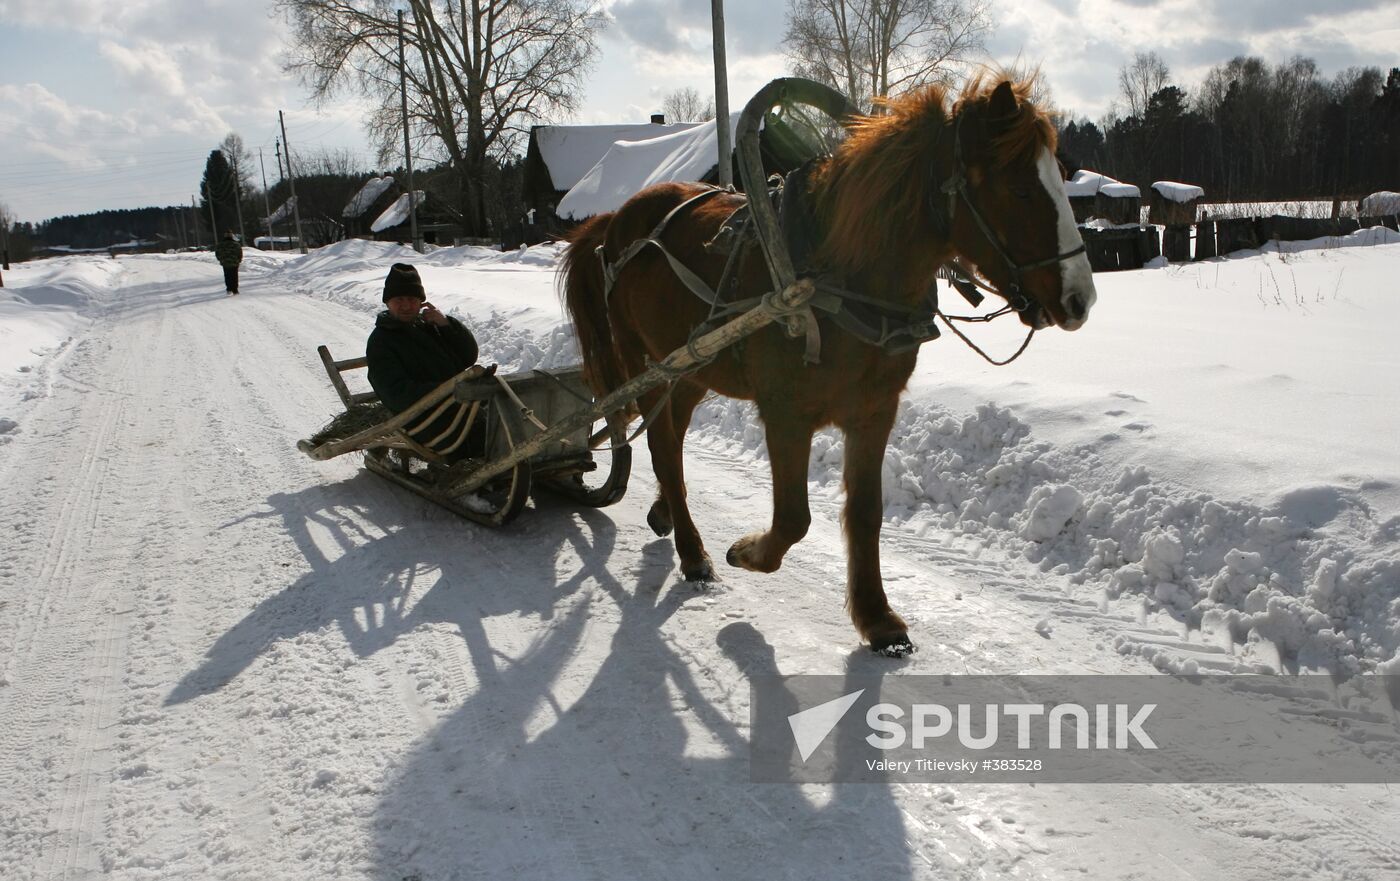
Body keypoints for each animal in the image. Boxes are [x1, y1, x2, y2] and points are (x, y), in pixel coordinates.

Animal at [557, 77, 1092, 652]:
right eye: (1019, 189)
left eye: (1061, 179)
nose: (1080, 299)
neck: (837, 274)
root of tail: (616, 222)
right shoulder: (786, 414)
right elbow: (794, 517)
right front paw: (747, 552)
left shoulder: (874, 412)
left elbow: (866, 513)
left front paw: (878, 618)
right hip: (649, 361)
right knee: (661, 444)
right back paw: (693, 552)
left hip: (694, 366)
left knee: (672, 438)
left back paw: (666, 515)